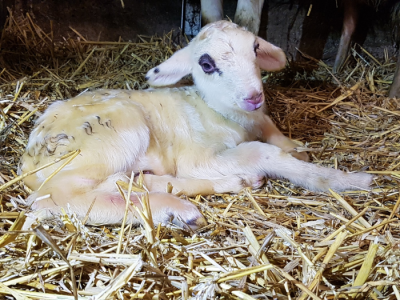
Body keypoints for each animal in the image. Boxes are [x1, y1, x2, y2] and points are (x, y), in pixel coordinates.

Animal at [21, 21, 372, 230]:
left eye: (255, 49)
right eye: (206, 63)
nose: (254, 96)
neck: (219, 111)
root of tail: (28, 160)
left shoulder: (260, 119)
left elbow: (274, 133)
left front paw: (296, 148)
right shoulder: (199, 156)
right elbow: (264, 152)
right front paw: (348, 180)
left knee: (130, 181)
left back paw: (233, 183)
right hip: (113, 137)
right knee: (61, 197)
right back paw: (176, 209)